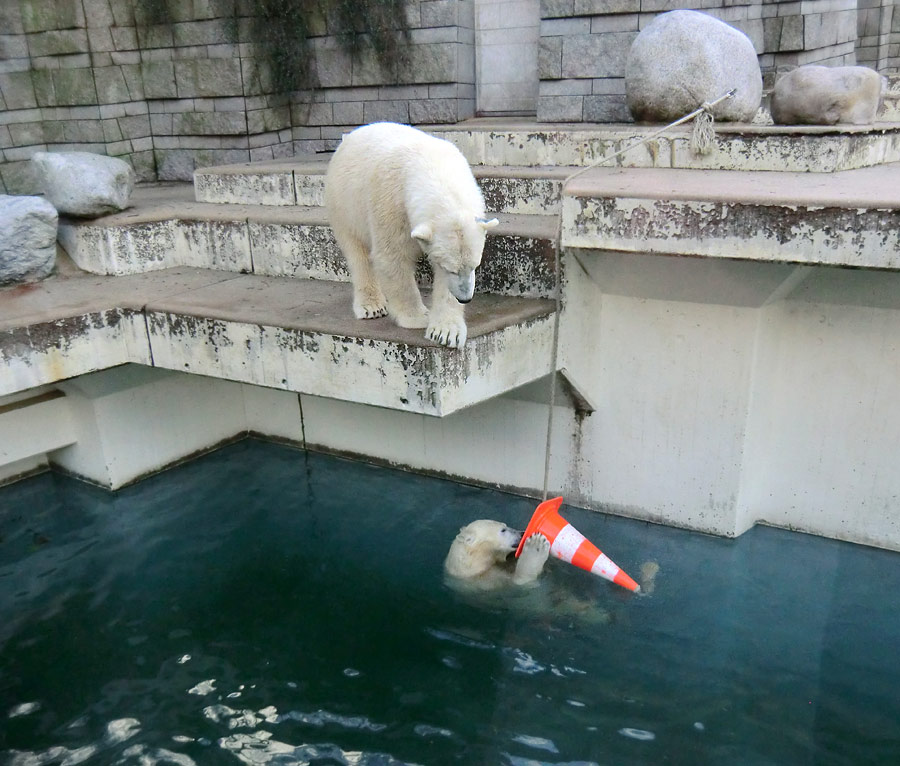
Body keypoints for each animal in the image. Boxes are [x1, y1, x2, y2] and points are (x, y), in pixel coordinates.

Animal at [326, 121, 500, 350]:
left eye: (475, 266)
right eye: (451, 269)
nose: (465, 299)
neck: (431, 167)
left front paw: (446, 332)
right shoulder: (391, 204)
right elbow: (393, 258)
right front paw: (417, 317)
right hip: (345, 202)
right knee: (357, 252)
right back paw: (372, 306)